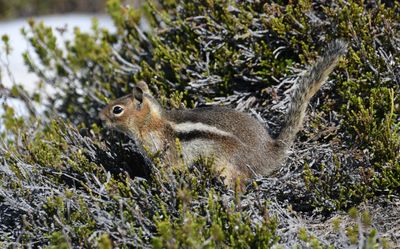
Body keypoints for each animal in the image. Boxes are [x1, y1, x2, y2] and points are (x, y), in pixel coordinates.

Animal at [99, 40, 346, 184]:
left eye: (117, 109)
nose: (100, 117)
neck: (152, 123)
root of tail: (270, 152)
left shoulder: (166, 156)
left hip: (226, 166)